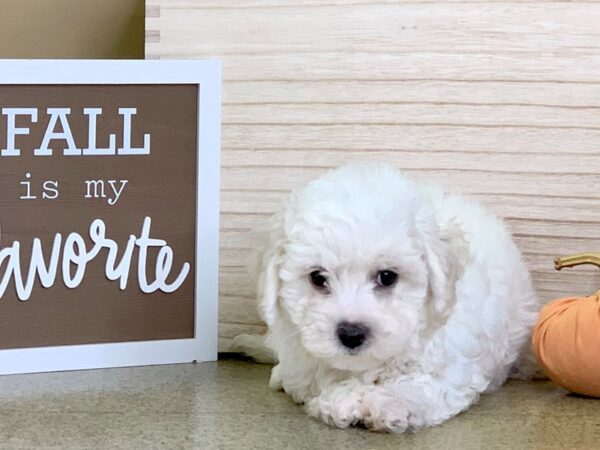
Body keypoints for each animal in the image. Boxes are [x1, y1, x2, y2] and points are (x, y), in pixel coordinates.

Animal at [232, 164, 536, 432]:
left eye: (387, 277)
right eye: (318, 278)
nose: (351, 334)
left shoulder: (455, 369)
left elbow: (421, 385)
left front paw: (388, 403)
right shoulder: (305, 364)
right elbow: (324, 378)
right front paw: (343, 400)